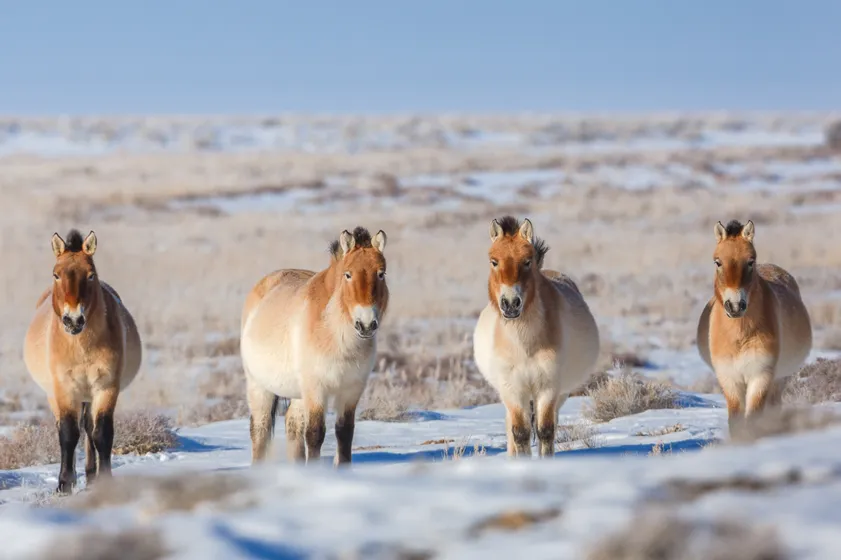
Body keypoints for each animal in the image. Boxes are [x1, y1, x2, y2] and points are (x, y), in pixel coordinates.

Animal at [23, 230, 142, 492]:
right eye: (56, 274)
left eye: (91, 274)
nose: (73, 320)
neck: (81, 347)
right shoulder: (65, 389)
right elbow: (68, 434)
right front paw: (65, 484)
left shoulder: (106, 387)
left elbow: (102, 434)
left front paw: (104, 479)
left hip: (89, 394)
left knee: (88, 429)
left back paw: (90, 475)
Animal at [241, 225, 388, 466]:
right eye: (348, 274)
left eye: (381, 273)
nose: (366, 324)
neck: (336, 336)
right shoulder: (316, 389)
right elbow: (315, 433)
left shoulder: (351, 390)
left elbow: (344, 433)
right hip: (258, 386)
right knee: (260, 431)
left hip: (298, 395)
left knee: (292, 425)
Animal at [472, 217, 596, 458]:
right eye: (494, 261)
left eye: (527, 261)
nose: (511, 304)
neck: (524, 345)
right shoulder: (512, 389)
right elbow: (519, 433)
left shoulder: (548, 387)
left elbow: (545, 431)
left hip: (558, 394)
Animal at [692, 221, 812, 436]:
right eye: (717, 262)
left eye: (750, 261)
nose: (735, 306)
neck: (739, 335)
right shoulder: (729, 379)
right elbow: (736, 420)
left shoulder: (761, 375)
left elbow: (754, 417)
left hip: (779, 379)